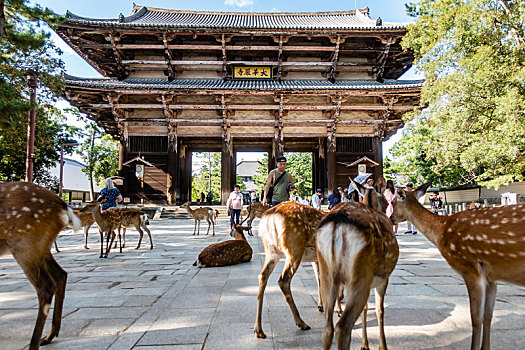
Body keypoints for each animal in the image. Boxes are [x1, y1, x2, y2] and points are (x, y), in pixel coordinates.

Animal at [0, 182, 81, 348]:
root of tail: (63, 205)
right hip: (42, 248)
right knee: (61, 274)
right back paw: (49, 336)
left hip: (26, 245)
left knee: (46, 287)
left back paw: (35, 343)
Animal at [253, 202, 326, 340]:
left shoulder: (317, 259)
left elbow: (319, 277)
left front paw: (321, 305)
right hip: (295, 247)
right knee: (283, 280)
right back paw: (301, 323)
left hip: (272, 250)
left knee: (262, 276)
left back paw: (259, 330)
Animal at [316, 180, 398, 350]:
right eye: (385, 199)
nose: (391, 217)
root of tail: (337, 224)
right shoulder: (383, 277)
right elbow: (380, 310)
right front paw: (382, 346)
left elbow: (366, 308)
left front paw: (365, 345)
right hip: (360, 273)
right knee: (342, 327)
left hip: (328, 273)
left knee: (327, 327)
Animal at [390, 182, 524, 350]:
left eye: (393, 202)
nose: (390, 218)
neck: (441, 231)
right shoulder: (491, 277)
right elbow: (488, 315)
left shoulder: (469, 267)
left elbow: (476, 318)